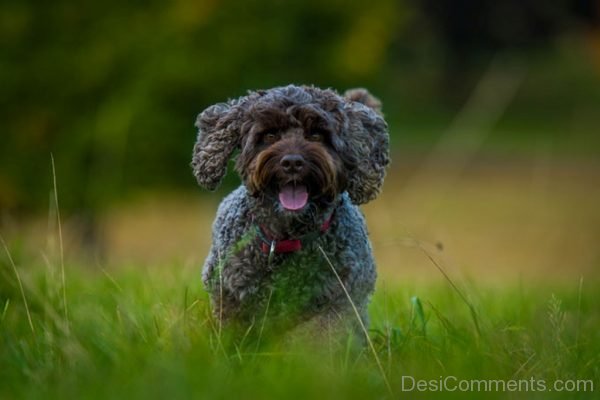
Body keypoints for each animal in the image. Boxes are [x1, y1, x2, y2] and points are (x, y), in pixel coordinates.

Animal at [191, 85, 390, 338]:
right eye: (269, 135)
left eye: (316, 135)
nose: (293, 162)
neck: (287, 238)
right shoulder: (228, 295)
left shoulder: (338, 302)